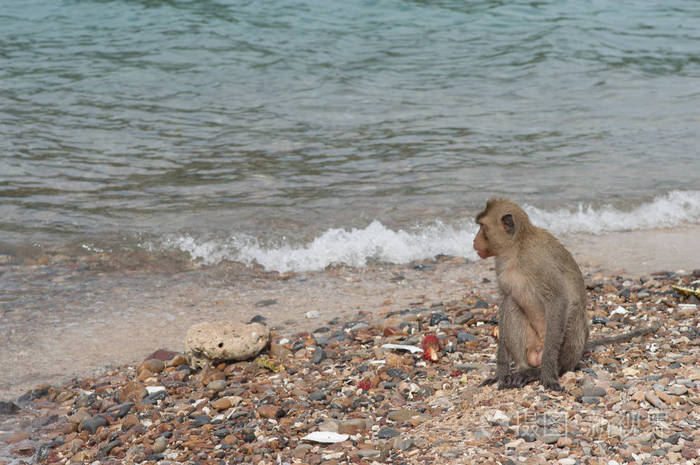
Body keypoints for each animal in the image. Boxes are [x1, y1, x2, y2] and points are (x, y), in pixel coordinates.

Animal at [474, 198, 660, 390]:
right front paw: (500, 373)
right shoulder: (501, 266)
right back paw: (523, 368)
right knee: (512, 303)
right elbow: (505, 301)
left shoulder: (538, 261)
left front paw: (547, 375)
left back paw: (537, 372)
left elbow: (558, 299)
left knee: (573, 312)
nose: (474, 240)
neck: (516, 249)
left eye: (482, 226)